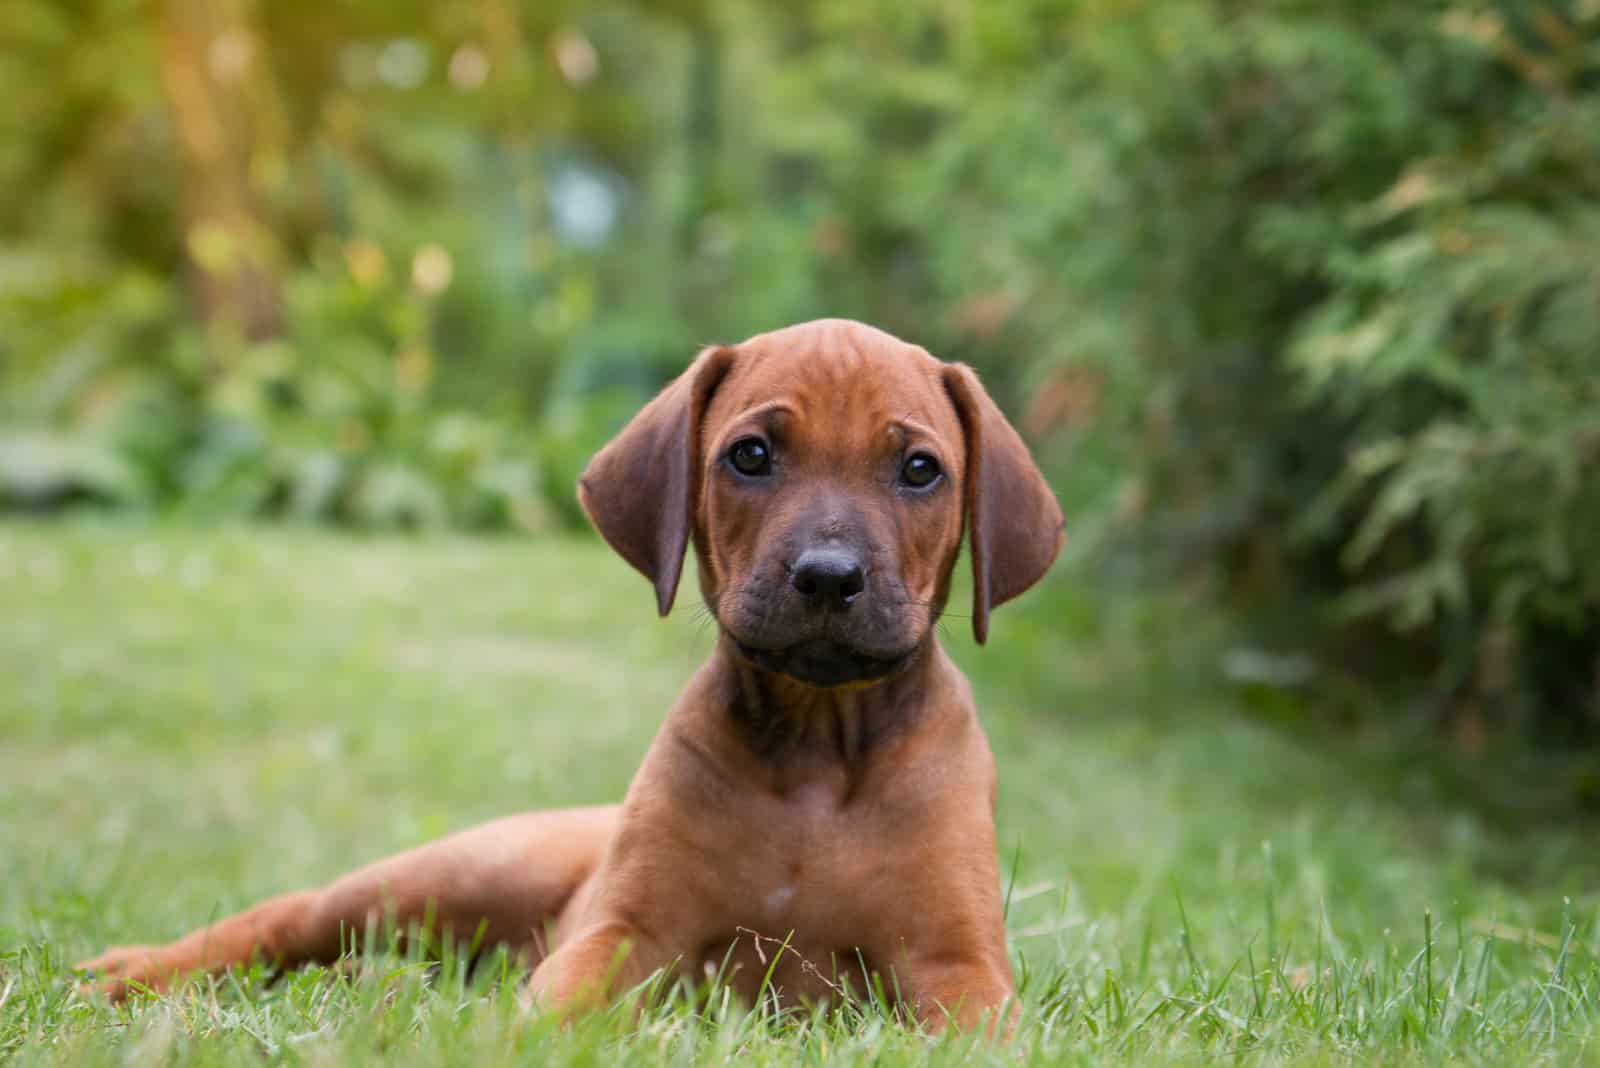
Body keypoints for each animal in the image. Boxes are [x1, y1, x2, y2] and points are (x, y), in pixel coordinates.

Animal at [81, 319, 1068, 1036]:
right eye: (751, 455)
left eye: (919, 469)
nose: (828, 577)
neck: (820, 745)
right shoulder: (627, 933)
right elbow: (557, 1000)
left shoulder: (959, 967)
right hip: (448, 878)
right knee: (289, 921)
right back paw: (127, 973)